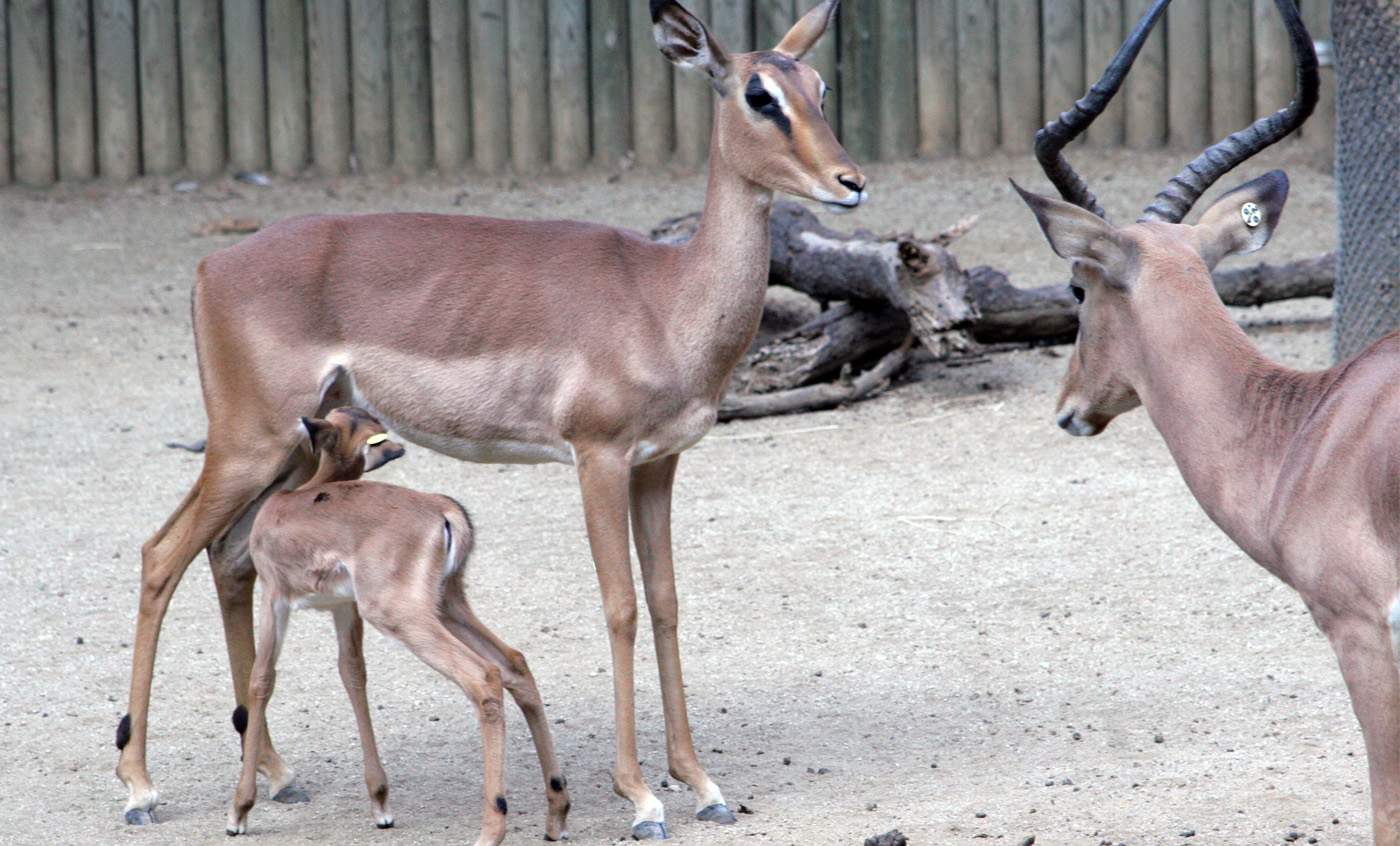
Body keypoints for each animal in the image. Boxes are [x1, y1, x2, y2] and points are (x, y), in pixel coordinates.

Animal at [226, 408, 570, 845]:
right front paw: (380, 804)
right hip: (447, 605)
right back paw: (557, 812)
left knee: (484, 677)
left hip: (401, 615)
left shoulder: (274, 597)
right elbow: (353, 674)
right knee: (515, 663)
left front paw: (240, 810)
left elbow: (261, 680)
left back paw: (492, 828)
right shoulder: (344, 607)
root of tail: (444, 510)